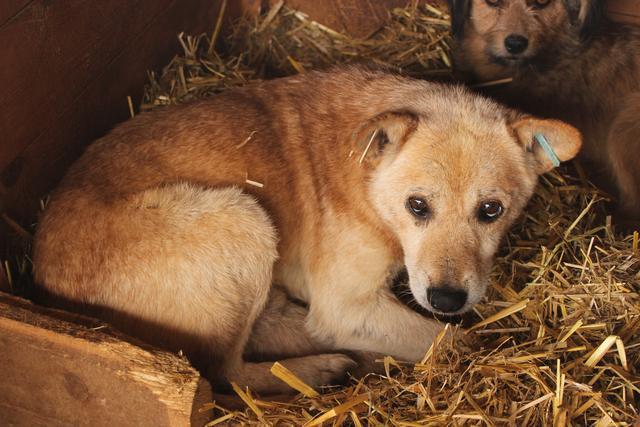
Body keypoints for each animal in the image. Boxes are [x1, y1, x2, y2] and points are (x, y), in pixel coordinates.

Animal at [31, 67, 580, 394]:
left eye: (491, 210)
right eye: (417, 206)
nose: (447, 299)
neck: (367, 179)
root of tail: (41, 277)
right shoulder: (346, 305)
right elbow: (453, 342)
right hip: (242, 220)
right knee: (227, 374)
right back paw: (318, 369)